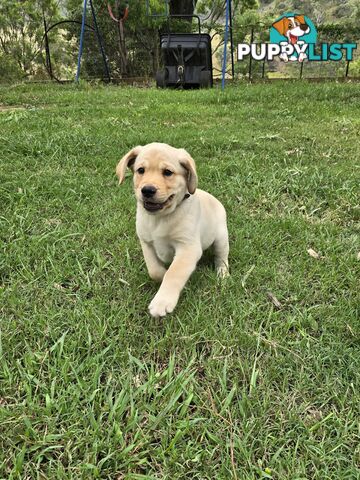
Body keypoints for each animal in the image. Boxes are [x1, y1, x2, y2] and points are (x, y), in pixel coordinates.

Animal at [116, 142, 229, 318]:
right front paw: (161, 275)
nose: (147, 190)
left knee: (221, 257)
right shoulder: (146, 242)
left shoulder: (188, 248)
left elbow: (174, 272)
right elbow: (154, 269)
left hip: (221, 238)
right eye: (141, 170)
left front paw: (162, 301)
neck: (160, 218)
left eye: (168, 172)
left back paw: (223, 274)